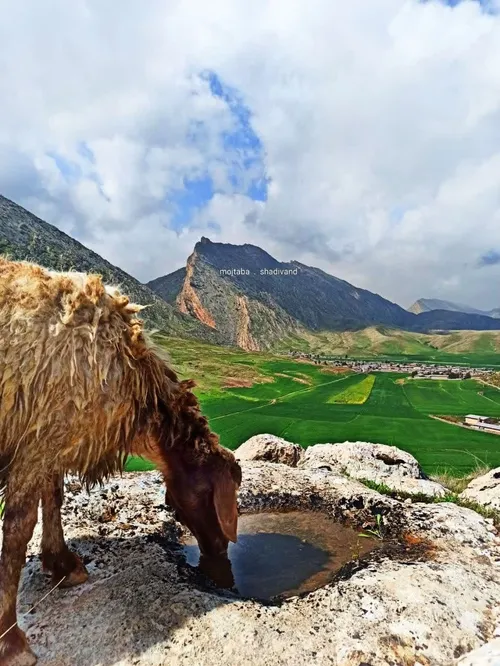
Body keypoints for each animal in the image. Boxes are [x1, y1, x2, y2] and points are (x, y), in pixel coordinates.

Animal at [0, 255, 242, 664]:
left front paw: (61, 562)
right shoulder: (36, 438)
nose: (219, 553)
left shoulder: (53, 434)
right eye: (219, 499)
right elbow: (18, 531)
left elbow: (53, 497)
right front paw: (10, 641)